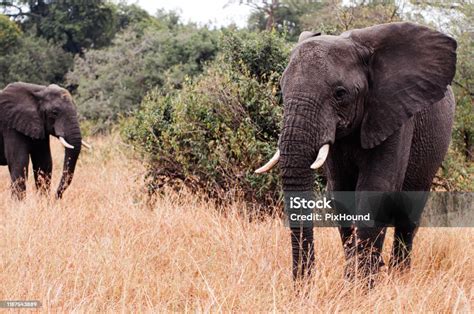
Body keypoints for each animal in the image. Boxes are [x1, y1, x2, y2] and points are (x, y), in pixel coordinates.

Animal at [256, 23, 460, 284]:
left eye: (340, 93)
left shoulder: (394, 113)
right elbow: (340, 193)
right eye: (281, 90)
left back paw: (399, 277)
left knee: (408, 214)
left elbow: (376, 189)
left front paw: (360, 285)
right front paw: (352, 280)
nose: (303, 286)